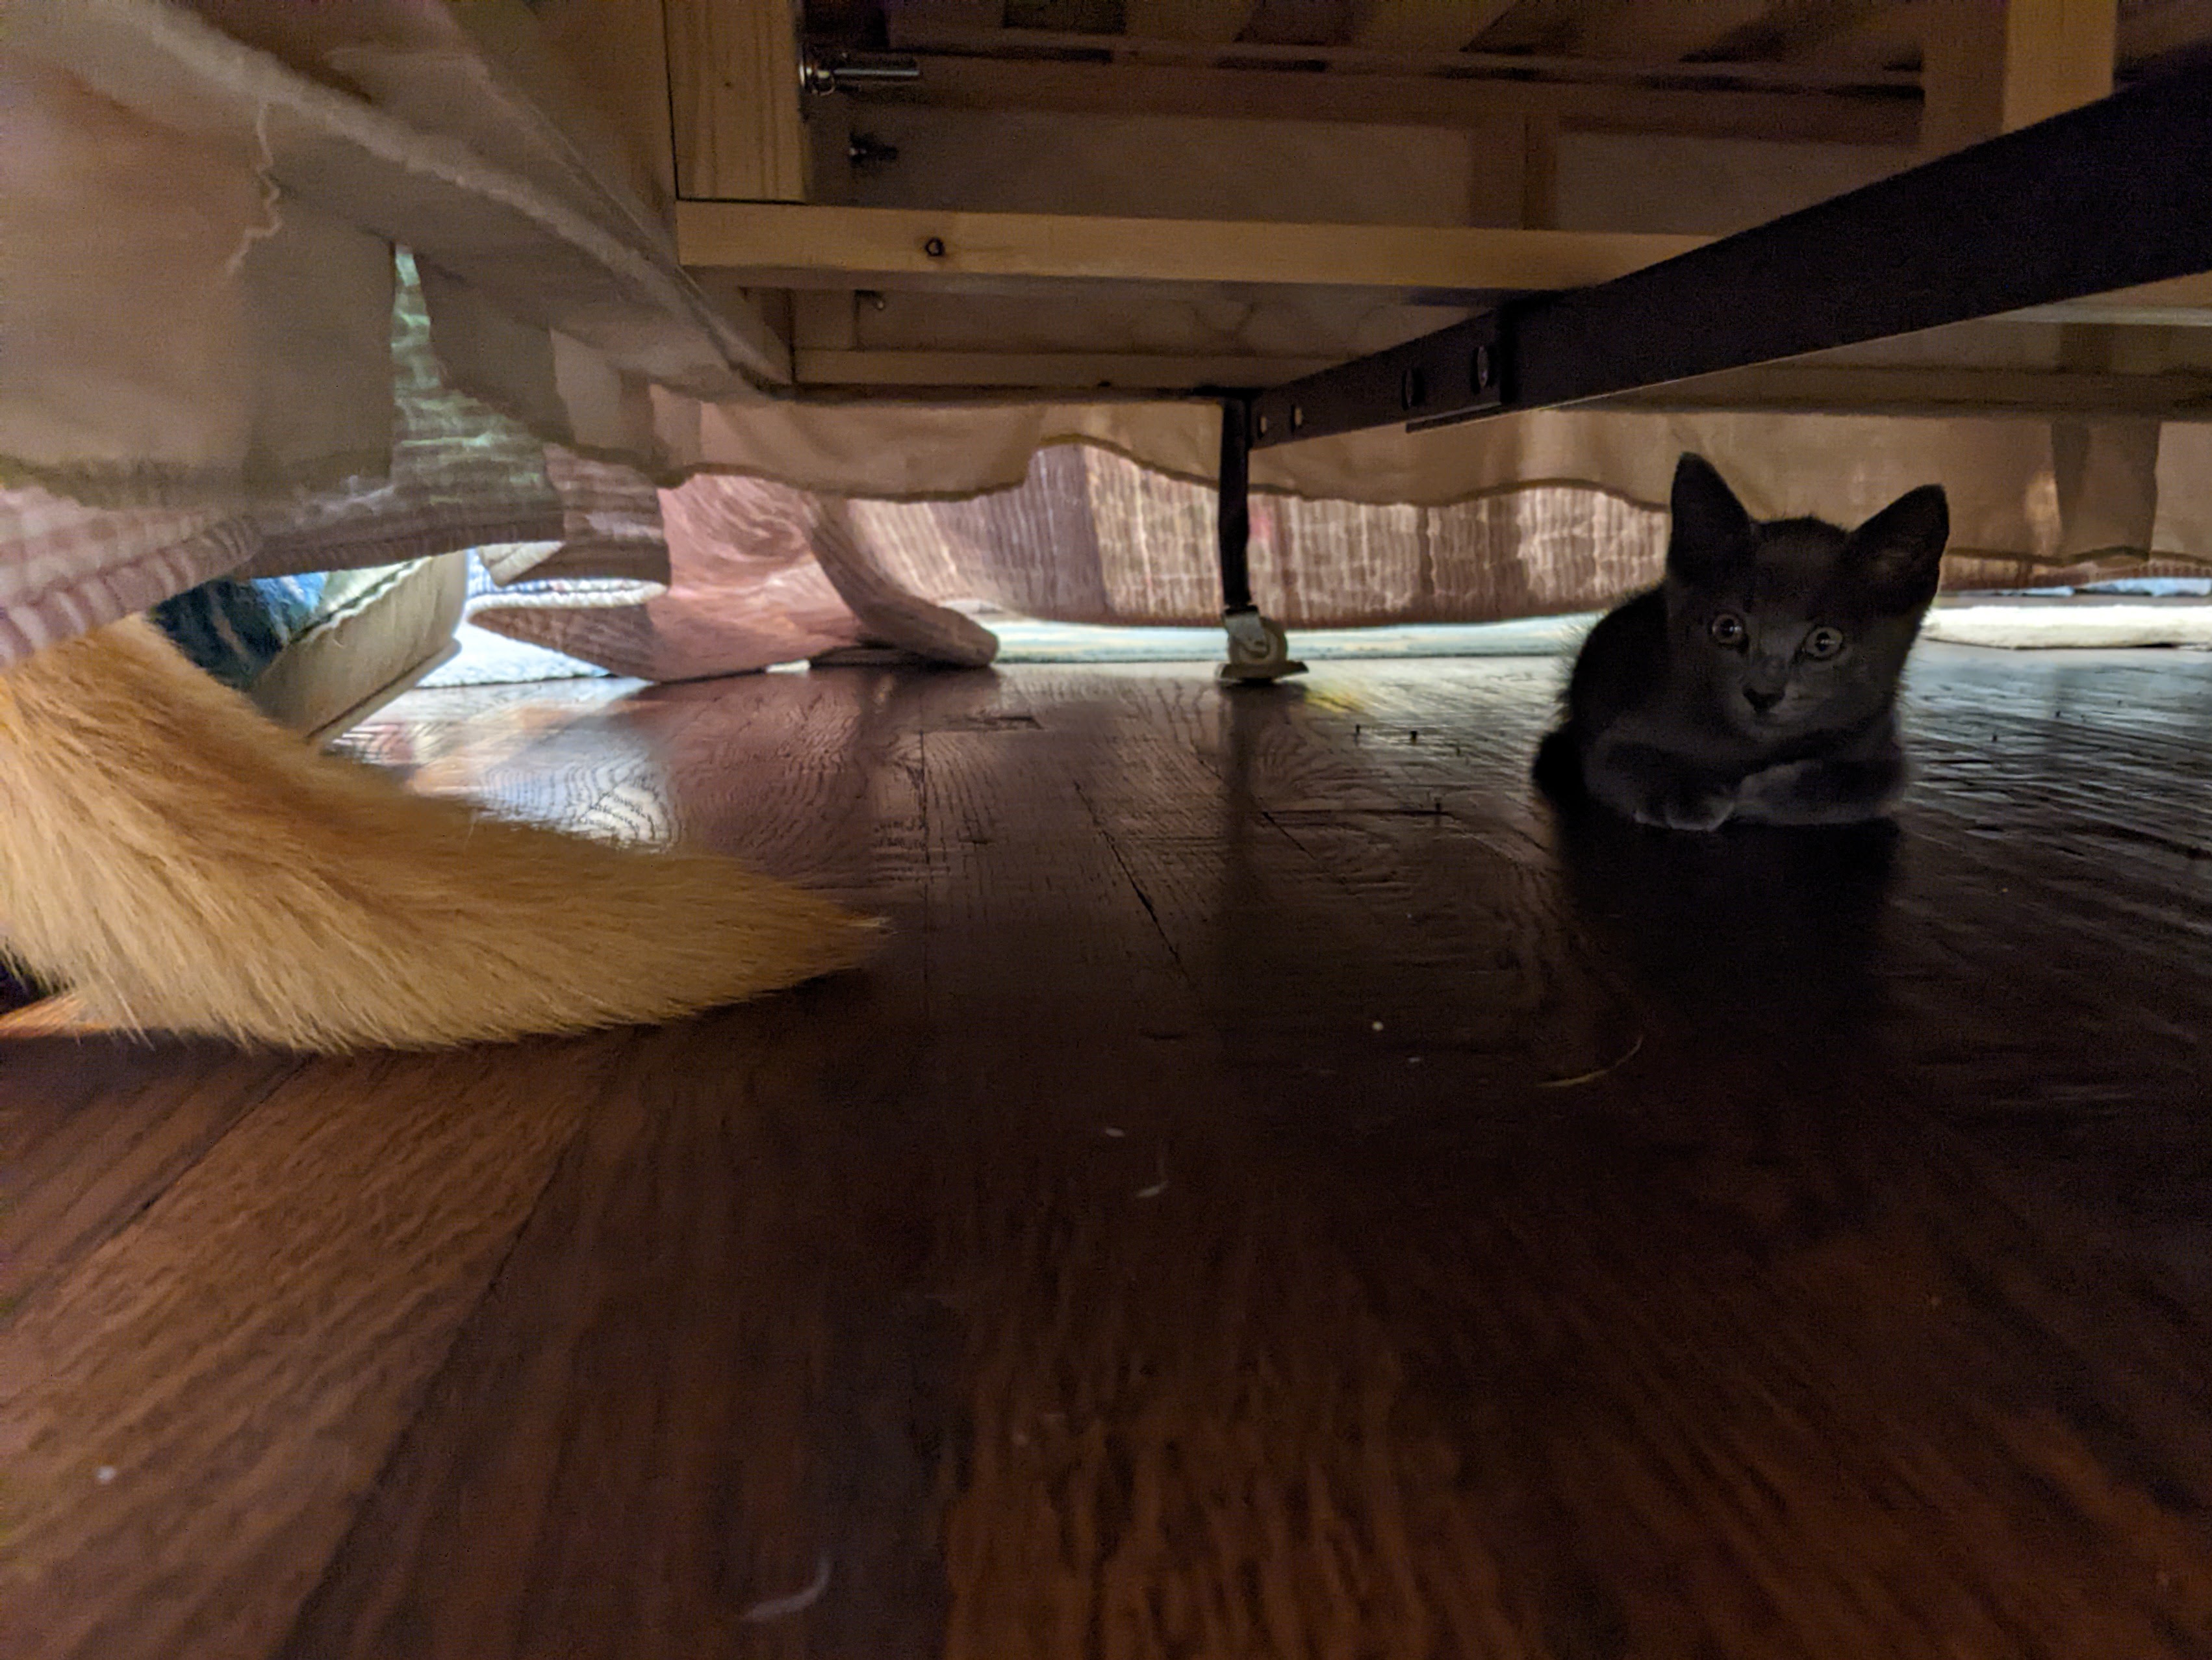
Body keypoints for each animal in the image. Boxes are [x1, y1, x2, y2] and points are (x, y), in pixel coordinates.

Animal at [1534, 452, 1949, 832]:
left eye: (1824, 642)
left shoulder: (1883, 747)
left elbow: (1866, 782)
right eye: (1727, 628)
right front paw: (1689, 793)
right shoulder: (1617, 733)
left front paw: (1759, 793)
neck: (1754, 749)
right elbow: (1621, 759)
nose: (1762, 694)